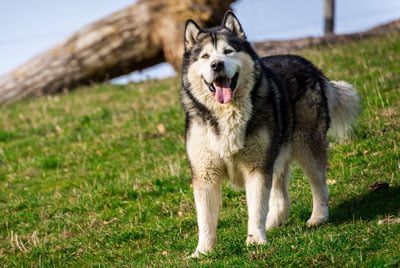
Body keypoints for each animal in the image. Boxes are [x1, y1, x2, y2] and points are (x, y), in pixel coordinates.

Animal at [180, 11, 360, 258]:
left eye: (228, 52)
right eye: (205, 56)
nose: (217, 65)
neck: (228, 114)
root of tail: (310, 65)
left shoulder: (257, 168)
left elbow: (256, 208)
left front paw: (255, 240)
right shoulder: (205, 174)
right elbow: (205, 219)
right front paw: (203, 252)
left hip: (307, 144)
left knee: (319, 184)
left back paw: (318, 217)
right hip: (276, 156)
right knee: (281, 197)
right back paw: (274, 222)